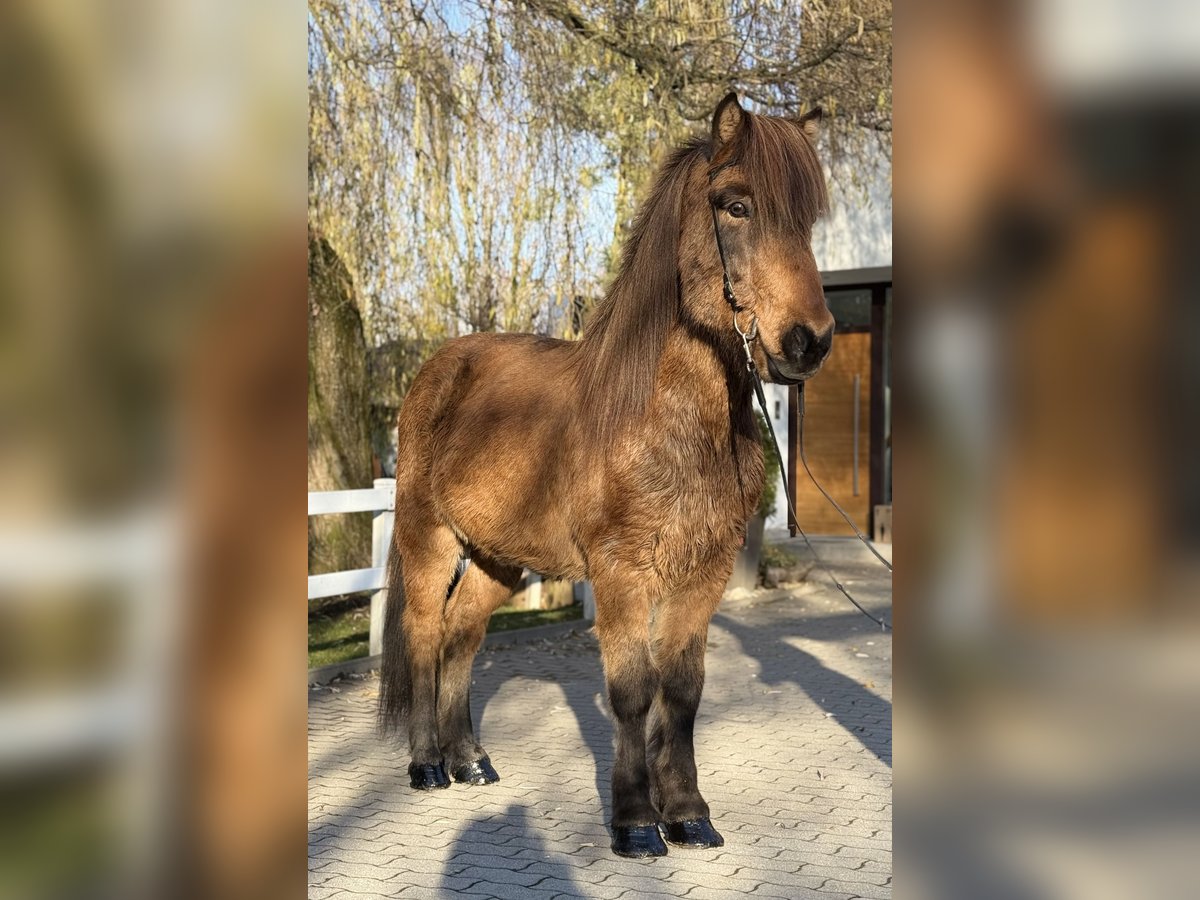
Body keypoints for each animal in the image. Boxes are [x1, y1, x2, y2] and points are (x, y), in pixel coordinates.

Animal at [378, 92, 835, 858]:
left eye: (807, 219)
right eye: (735, 205)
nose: (809, 341)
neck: (663, 421)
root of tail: (436, 368)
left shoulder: (702, 576)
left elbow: (682, 692)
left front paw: (689, 814)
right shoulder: (622, 572)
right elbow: (631, 691)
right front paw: (635, 823)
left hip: (498, 559)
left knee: (462, 634)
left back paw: (471, 760)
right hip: (428, 540)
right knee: (422, 633)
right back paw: (426, 765)